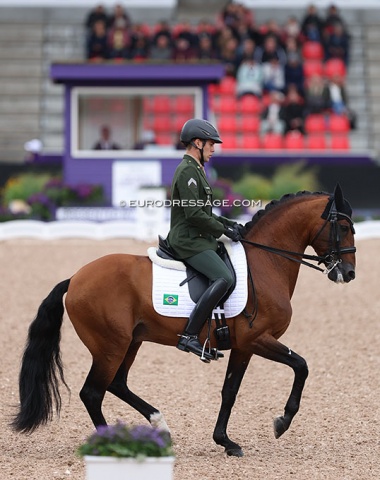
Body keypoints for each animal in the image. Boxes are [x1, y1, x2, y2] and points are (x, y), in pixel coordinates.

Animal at [11, 185, 356, 458]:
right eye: (342, 226)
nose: (348, 273)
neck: (266, 262)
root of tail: (75, 279)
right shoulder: (258, 339)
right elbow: (301, 366)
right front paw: (282, 422)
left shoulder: (243, 347)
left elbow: (230, 391)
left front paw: (226, 441)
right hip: (111, 346)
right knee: (93, 393)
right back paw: (111, 442)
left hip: (130, 342)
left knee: (117, 384)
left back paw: (160, 426)